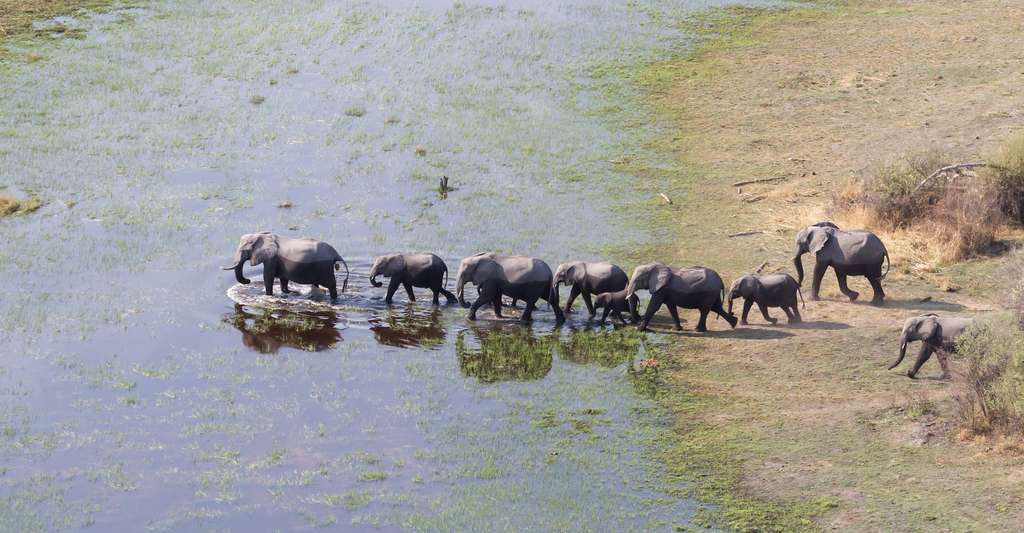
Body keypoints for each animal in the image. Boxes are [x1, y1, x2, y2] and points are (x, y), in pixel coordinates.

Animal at [222, 231, 350, 298]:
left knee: (331, 284)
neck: (262, 235)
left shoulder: (271, 258)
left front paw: (268, 296)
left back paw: (333, 299)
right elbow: (283, 278)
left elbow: (268, 276)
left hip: (324, 267)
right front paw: (289, 292)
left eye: (244, 250)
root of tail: (335, 253)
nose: (248, 281)